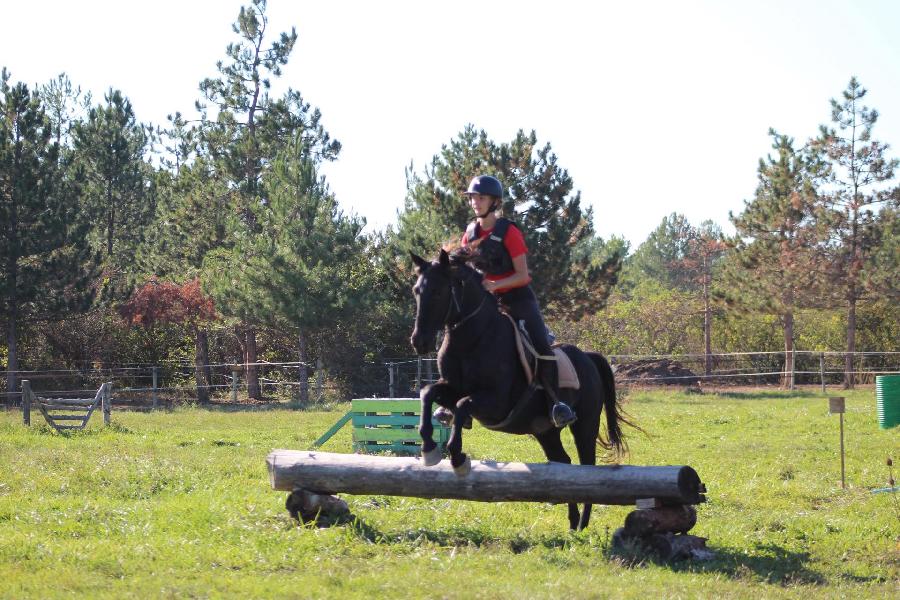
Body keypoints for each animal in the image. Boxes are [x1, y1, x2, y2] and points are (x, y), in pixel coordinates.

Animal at [410, 248, 628, 528]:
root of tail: (588, 357)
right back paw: (572, 521)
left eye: (438, 292)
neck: (471, 338)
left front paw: (457, 457)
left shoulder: (496, 403)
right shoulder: (452, 387)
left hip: (585, 424)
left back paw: (582, 524)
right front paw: (428, 448)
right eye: (417, 291)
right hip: (545, 431)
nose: (419, 341)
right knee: (563, 463)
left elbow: (462, 405)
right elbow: (429, 393)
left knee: (586, 465)